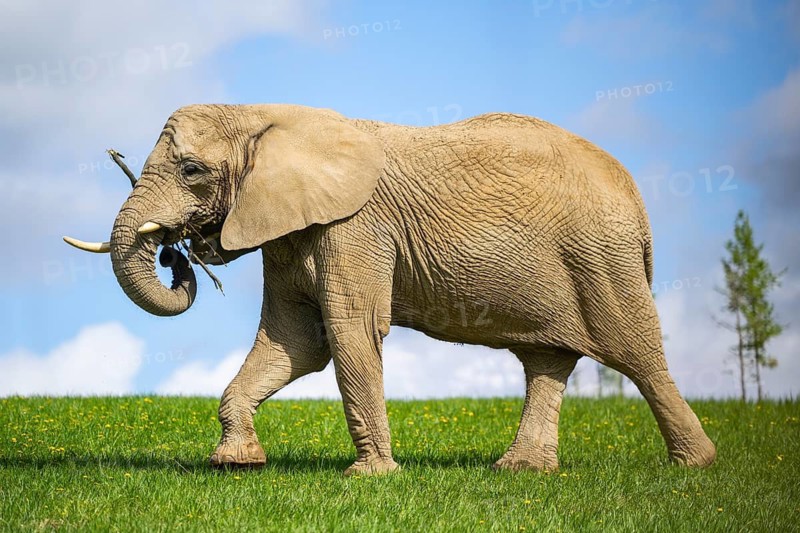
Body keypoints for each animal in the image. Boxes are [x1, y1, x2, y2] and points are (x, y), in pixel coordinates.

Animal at [64, 104, 716, 475]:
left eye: (192, 170)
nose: (177, 252)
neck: (263, 113)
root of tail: (635, 195)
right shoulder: (293, 230)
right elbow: (294, 342)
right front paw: (234, 464)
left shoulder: (355, 227)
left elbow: (348, 332)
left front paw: (372, 478)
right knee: (546, 361)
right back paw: (520, 472)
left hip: (601, 259)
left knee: (637, 355)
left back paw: (694, 468)